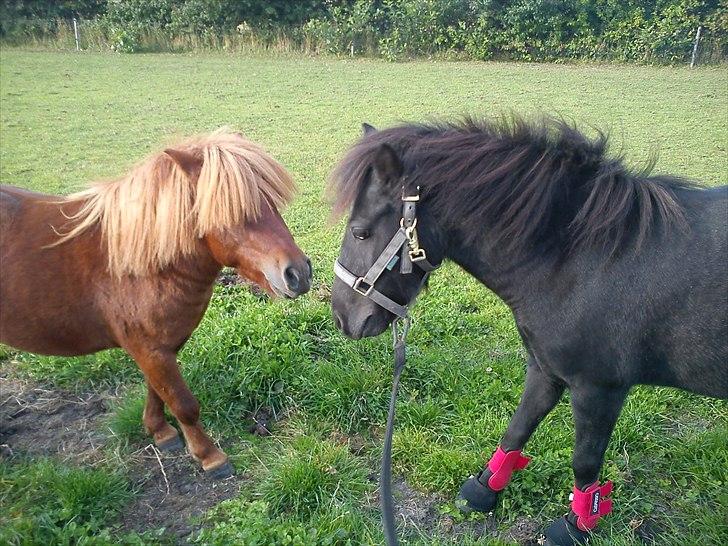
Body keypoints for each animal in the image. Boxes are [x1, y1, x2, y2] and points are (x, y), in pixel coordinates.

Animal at [0, 129, 310, 476]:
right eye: (231, 214)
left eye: (272, 201)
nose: (299, 273)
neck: (136, 268)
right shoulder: (150, 350)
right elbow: (183, 404)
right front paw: (209, 456)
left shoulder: (160, 349)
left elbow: (157, 391)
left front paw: (159, 431)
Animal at [330, 117, 728, 540]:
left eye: (360, 232)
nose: (341, 316)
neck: (579, 256)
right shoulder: (544, 369)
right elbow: (518, 428)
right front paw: (483, 489)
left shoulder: (599, 389)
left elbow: (584, 461)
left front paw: (576, 526)